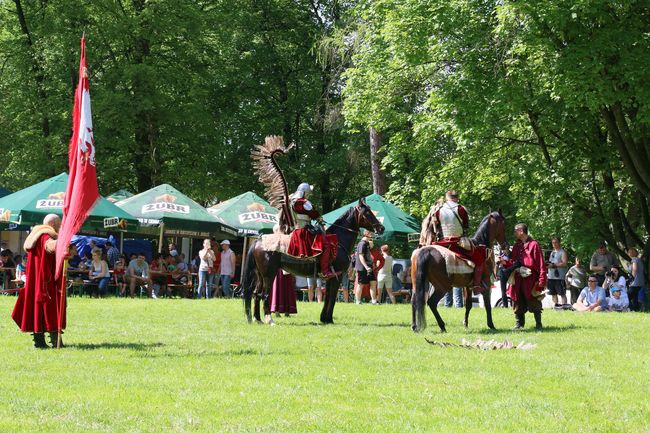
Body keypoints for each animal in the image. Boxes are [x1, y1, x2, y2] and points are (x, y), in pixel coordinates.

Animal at [243, 199, 384, 324]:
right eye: (367, 213)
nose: (381, 228)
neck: (338, 241)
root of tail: (259, 241)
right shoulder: (336, 276)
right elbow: (332, 298)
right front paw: (328, 319)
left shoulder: (330, 278)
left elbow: (328, 297)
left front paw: (325, 318)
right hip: (269, 275)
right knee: (264, 295)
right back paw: (269, 319)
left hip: (260, 276)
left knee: (256, 294)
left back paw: (257, 319)